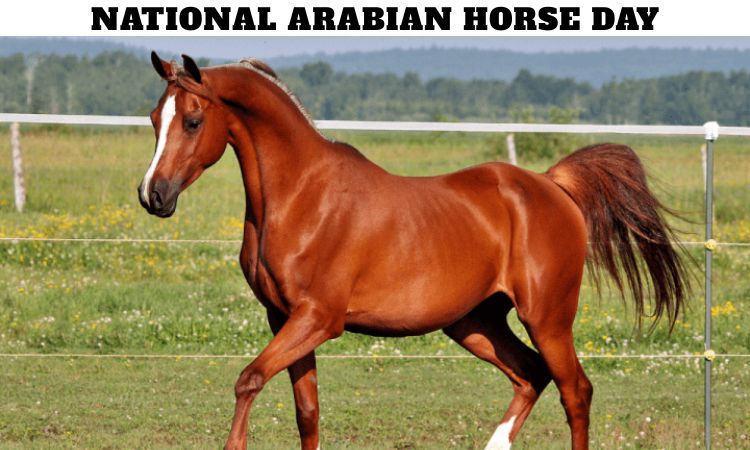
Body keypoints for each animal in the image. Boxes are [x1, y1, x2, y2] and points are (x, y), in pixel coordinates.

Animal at [137, 52, 688, 450]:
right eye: (154, 118)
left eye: (192, 121)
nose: (153, 196)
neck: (300, 195)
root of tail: (552, 185)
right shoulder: (283, 319)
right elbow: (307, 413)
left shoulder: (318, 319)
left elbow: (248, 380)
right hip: (474, 322)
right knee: (531, 375)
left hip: (547, 317)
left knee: (575, 391)